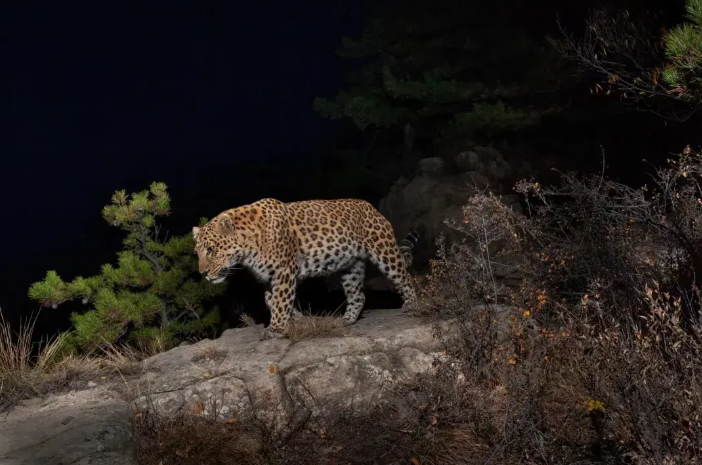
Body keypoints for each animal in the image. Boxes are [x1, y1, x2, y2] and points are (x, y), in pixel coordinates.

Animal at [192, 198, 418, 338]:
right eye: (198, 253)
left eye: (211, 250)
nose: (203, 273)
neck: (248, 247)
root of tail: (372, 208)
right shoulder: (268, 278)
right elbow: (271, 300)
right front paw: (297, 319)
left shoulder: (284, 271)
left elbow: (281, 300)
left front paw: (276, 328)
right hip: (350, 268)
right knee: (358, 295)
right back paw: (347, 320)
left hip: (384, 251)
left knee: (405, 277)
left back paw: (412, 305)